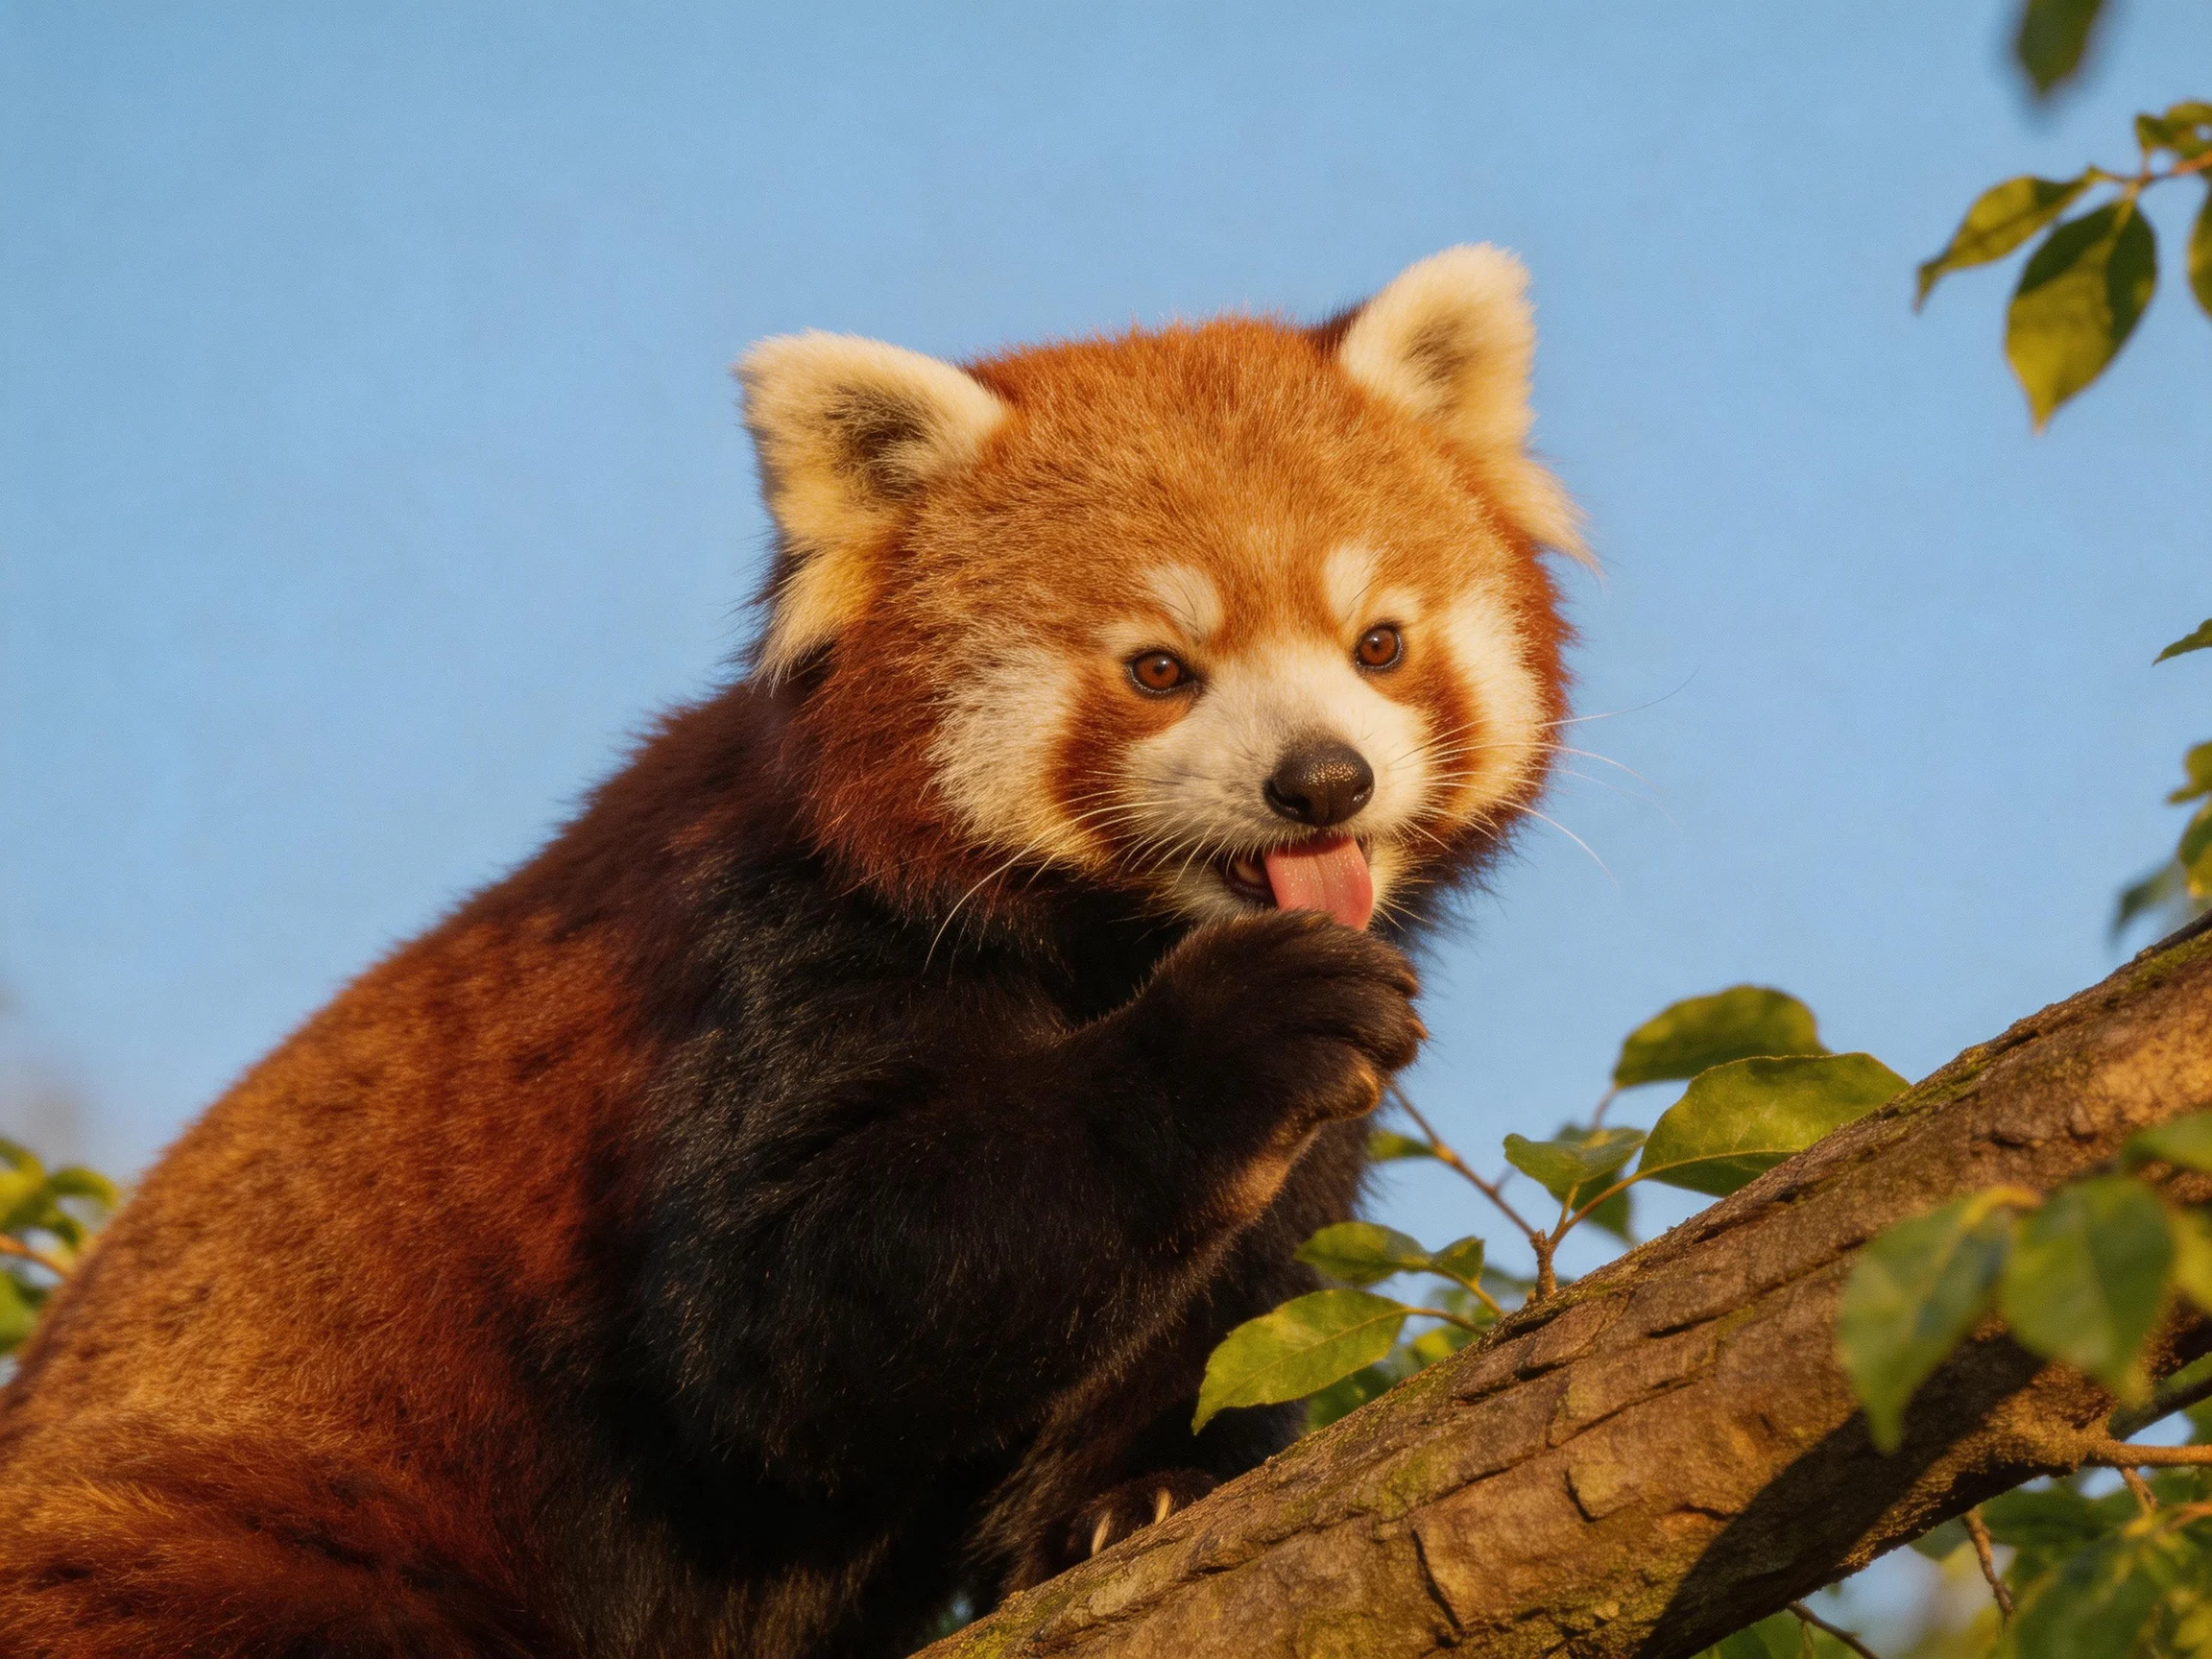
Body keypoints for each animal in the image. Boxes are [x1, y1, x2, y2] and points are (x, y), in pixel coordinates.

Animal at [0, 246, 1581, 1658]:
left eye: (1379, 645)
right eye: (1158, 671)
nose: (1322, 784)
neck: (1113, 939)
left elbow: (1219, 1305)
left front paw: (1136, 1495)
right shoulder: (767, 946)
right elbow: (778, 1328)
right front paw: (1230, 1032)